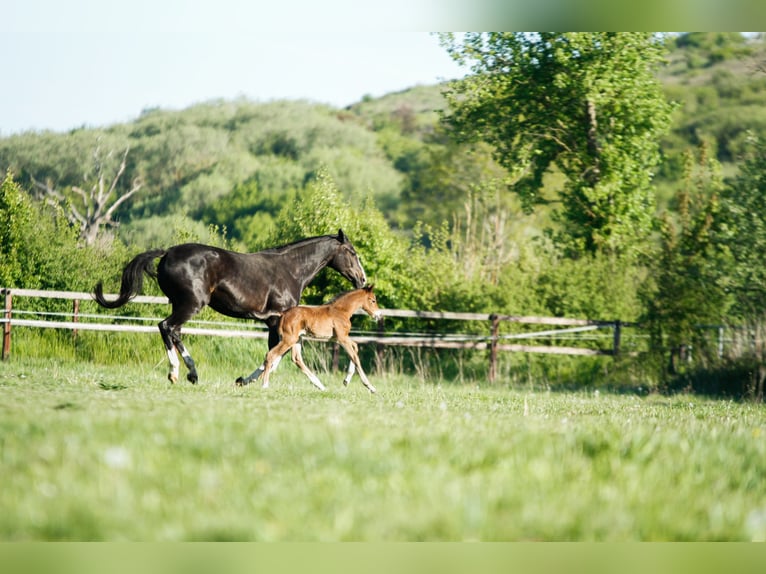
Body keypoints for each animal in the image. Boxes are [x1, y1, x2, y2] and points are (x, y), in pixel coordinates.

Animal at [93, 230, 367, 384]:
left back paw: (192, 374)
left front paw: (244, 380)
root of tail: (167, 253)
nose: (362, 279)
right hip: (192, 304)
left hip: (182, 305)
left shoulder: (276, 323)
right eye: (352, 252)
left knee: (174, 331)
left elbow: (274, 356)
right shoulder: (276, 321)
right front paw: (246, 381)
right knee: (166, 327)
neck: (291, 270)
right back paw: (176, 373)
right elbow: (275, 356)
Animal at [236, 285, 381, 393]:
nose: (378, 315)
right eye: (373, 300)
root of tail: (283, 313)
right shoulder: (342, 338)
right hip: (288, 339)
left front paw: (346, 381)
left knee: (296, 358)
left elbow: (355, 348)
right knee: (271, 354)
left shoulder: (337, 338)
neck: (341, 311)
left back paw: (320, 385)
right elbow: (355, 357)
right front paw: (370, 387)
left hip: (297, 340)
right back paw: (265, 385)